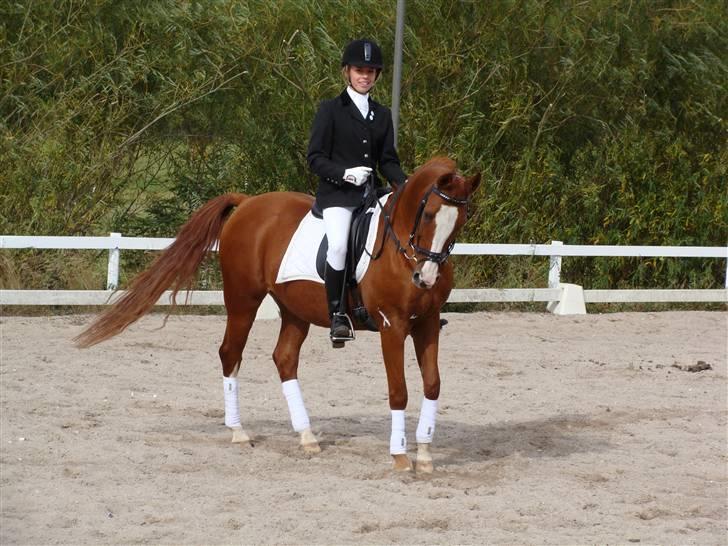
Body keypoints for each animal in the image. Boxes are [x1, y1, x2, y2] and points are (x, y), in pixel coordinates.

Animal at [77, 155, 480, 470]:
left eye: (459, 221)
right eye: (428, 215)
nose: (425, 278)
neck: (403, 250)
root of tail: (248, 203)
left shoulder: (427, 324)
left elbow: (432, 384)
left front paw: (424, 453)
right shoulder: (391, 326)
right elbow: (398, 391)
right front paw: (399, 456)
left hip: (295, 309)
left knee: (284, 359)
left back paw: (306, 436)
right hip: (243, 299)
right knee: (231, 354)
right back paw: (239, 432)